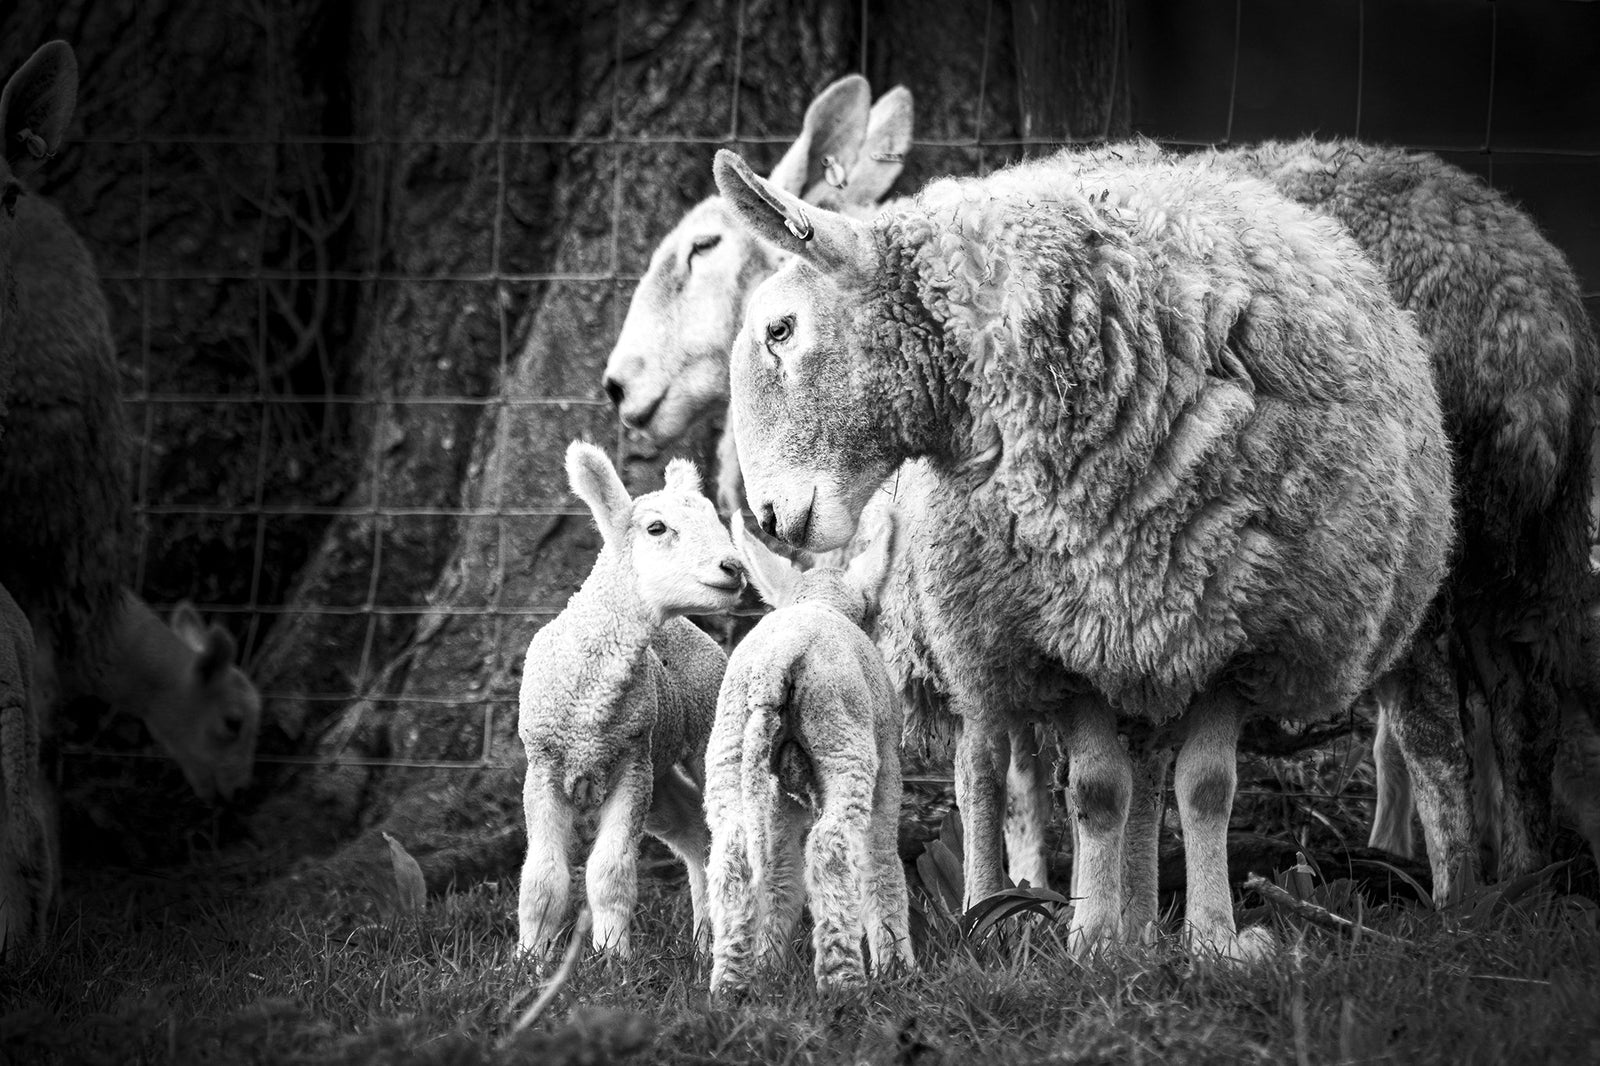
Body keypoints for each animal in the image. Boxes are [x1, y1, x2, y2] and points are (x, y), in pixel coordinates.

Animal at [517, 442, 746, 960]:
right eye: (656, 528)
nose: (734, 568)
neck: (590, 707)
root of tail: (688, 627)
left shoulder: (630, 763)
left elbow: (610, 871)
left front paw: (612, 958)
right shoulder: (543, 763)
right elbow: (542, 877)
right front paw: (528, 961)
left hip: (703, 732)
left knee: (723, 835)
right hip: (658, 773)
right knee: (693, 830)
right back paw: (703, 943)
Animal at [705, 511, 913, 994]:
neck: (821, 601)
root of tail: (775, 664)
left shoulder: (780, 796)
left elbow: (782, 872)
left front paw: (769, 966)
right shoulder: (887, 769)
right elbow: (881, 863)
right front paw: (898, 968)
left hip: (730, 748)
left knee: (736, 855)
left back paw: (731, 983)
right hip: (843, 742)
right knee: (831, 849)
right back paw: (843, 983)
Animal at [713, 146, 1459, 960]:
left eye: (780, 329)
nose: (769, 516)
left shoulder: (1241, 632)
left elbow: (1206, 790)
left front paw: (1210, 938)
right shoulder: (1052, 636)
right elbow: (1096, 792)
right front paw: (1094, 940)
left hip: (1143, 638)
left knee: (1150, 776)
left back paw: (1144, 920)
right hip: (980, 631)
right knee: (985, 769)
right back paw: (1012, 906)